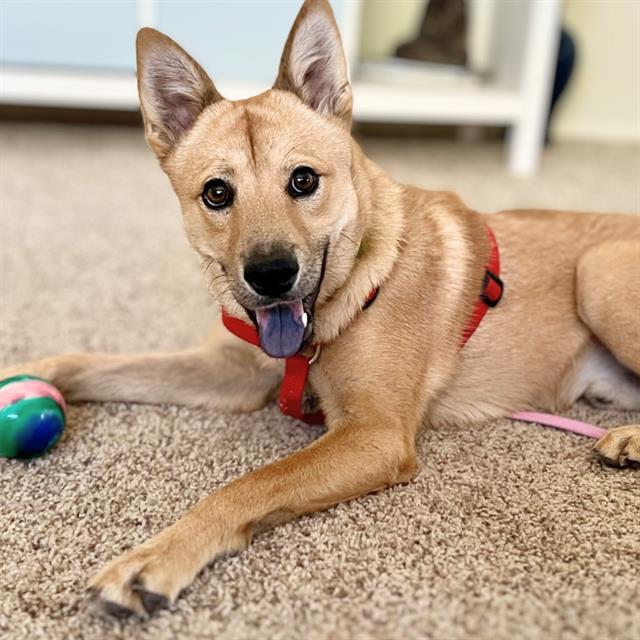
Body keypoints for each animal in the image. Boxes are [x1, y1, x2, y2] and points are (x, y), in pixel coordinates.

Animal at [2, 0, 636, 620]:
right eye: (216, 193)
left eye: (304, 181)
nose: (270, 275)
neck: (350, 292)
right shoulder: (229, 374)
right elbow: (91, 363)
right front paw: (31, 372)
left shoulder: (375, 435)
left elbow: (247, 486)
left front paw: (156, 558)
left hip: (598, 275)